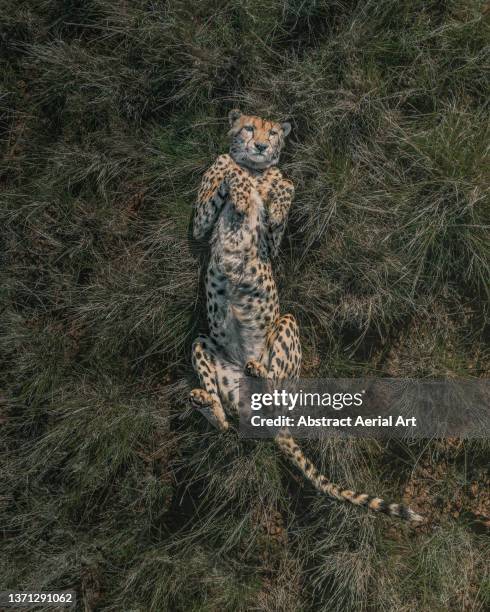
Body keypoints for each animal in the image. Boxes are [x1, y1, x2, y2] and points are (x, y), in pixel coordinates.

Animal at [189, 109, 424, 520]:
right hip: (203, 342)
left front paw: (275, 186)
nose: (261, 146)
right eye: (249, 127)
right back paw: (206, 402)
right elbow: (221, 177)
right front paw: (233, 173)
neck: (255, 171)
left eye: (271, 133)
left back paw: (258, 370)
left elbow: (282, 194)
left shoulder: (270, 242)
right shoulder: (202, 226)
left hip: (287, 323)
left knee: (279, 392)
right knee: (224, 421)